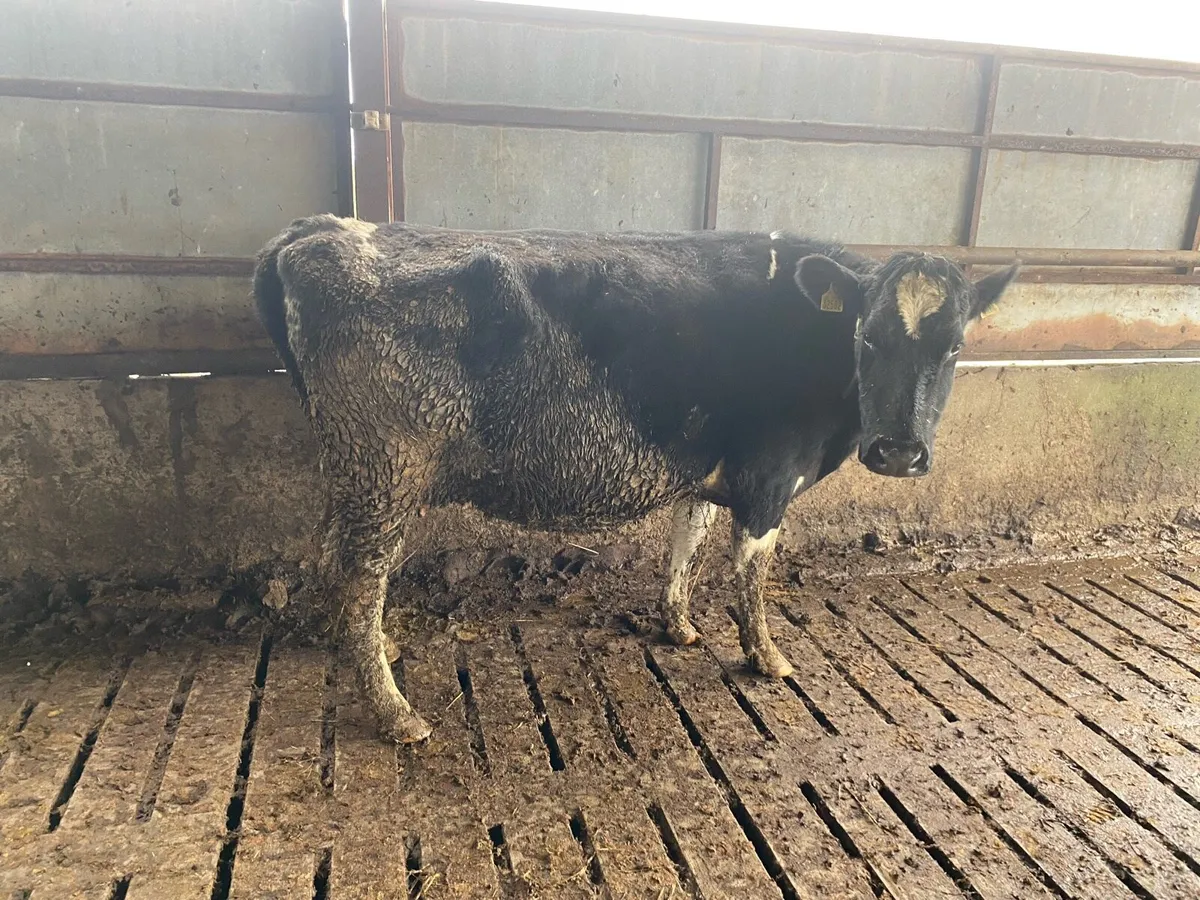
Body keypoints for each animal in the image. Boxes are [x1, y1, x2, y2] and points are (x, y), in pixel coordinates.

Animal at [254, 214, 1017, 743]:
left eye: (954, 347)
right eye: (867, 337)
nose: (898, 452)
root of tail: (320, 229)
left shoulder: (705, 471)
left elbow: (686, 543)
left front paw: (678, 626)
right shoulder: (770, 480)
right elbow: (752, 574)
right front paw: (767, 657)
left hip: (358, 471)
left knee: (340, 562)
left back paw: (378, 650)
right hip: (385, 467)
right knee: (361, 575)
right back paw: (394, 711)